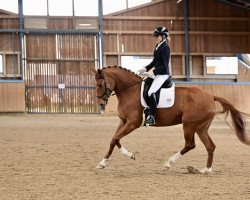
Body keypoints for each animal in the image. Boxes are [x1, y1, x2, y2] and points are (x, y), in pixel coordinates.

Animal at [92, 66, 250, 173]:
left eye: (100, 84)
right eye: (95, 84)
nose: (101, 105)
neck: (129, 91)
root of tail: (211, 96)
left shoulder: (133, 123)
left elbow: (115, 138)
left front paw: (123, 156)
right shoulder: (123, 121)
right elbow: (114, 139)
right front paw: (106, 161)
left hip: (189, 125)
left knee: (190, 145)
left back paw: (168, 163)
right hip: (201, 128)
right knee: (210, 146)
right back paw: (205, 170)